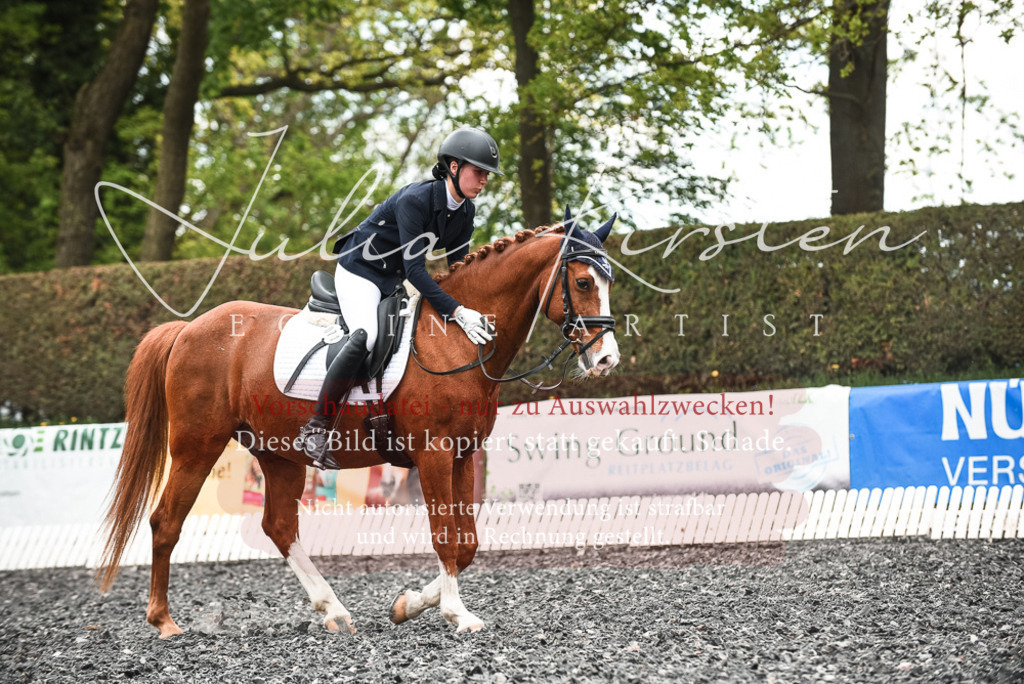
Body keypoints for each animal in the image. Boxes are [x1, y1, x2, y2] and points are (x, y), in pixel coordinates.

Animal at [97, 209, 621, 637]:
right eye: (582, 283)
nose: (606, 359)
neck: (454, 340)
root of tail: (188, 328)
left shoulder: (462, 455)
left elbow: (467, 543)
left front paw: (408, 605)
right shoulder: (433, 455)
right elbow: (445, 536)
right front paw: (458, 615)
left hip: (277, 452)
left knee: (279, 526)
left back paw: (334, 611)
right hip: (196, 446)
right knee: (166, 521)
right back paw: (164, 621)